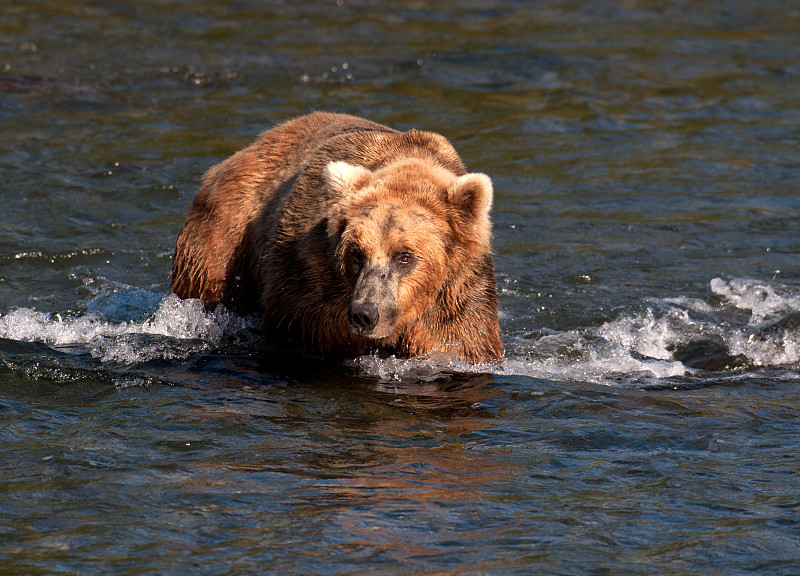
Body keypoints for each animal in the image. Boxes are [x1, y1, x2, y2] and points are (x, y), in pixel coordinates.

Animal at [172, 112, 504, 362]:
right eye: (357, 253)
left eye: (404, 255)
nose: (364, 314)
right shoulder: (309, 273)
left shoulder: (457, 294)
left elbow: (461, 343)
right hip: (225, 230)